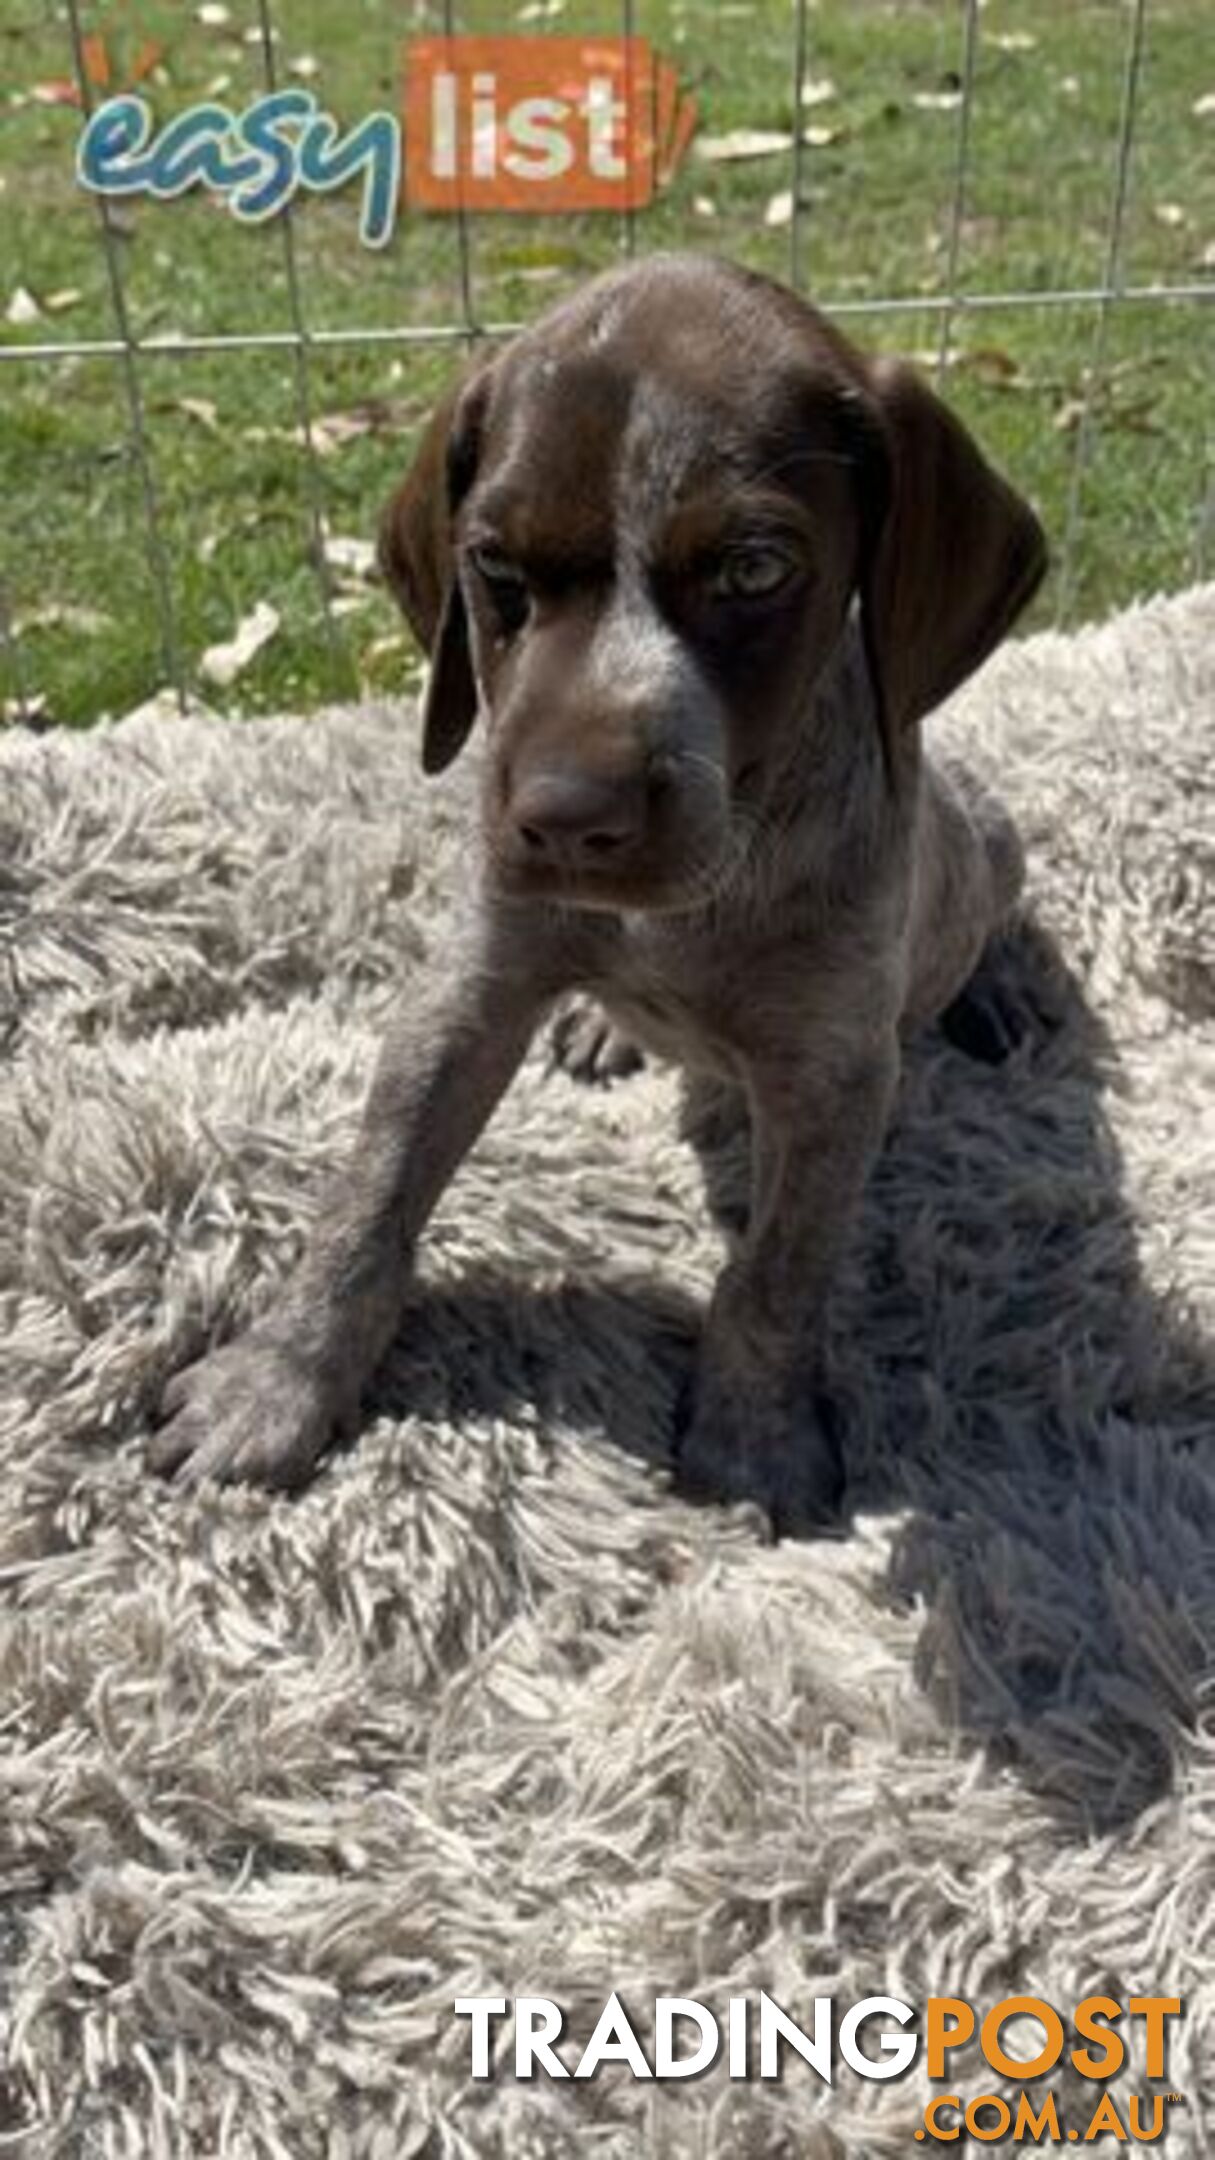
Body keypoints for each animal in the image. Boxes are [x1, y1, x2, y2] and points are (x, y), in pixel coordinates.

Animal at [151, 252, 1042, 1529]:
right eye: (493, 569)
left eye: (754, 570)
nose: (567, 820)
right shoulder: (467, 992)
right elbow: (366, 1204)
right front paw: (279, 1379)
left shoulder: (833, 1077)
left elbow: (776, 1275)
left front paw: (754, 1438)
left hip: (985, 835)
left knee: (992, 909)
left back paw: (993, 993)